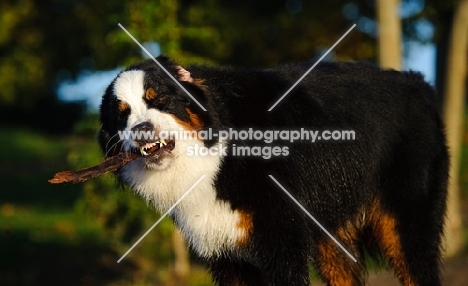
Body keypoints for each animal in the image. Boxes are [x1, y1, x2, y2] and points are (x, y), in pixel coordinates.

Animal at [97, 56, 448, 286]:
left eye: (158, 100)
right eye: (122, 115)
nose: (141, 129)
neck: (219, 153)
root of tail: (419, 82)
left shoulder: (281, 244)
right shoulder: (226, 256)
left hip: (405, 227)